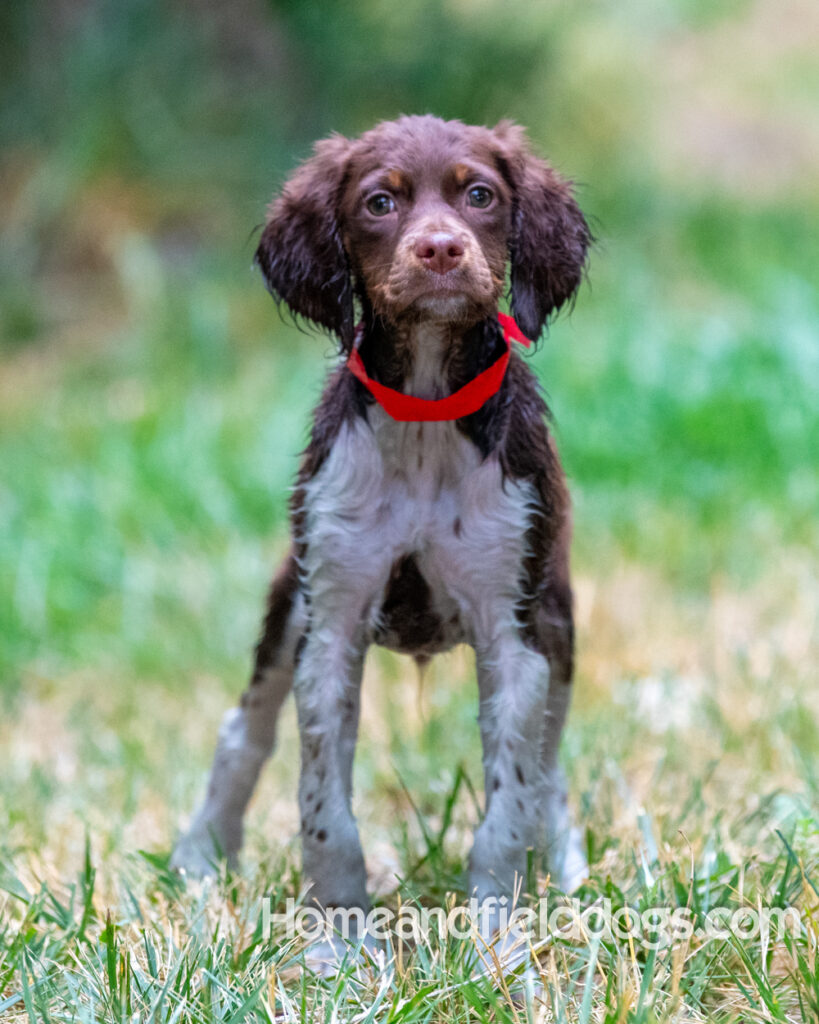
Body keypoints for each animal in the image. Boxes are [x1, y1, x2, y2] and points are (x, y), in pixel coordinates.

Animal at [173, 112, 593, 929]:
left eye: (479, 194)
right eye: (379, 203)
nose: (440, 250)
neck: (426, 416)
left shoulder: (517, 635)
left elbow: (510, 804)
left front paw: (497, 933)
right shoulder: (330, 628)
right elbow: (323, 813)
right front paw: (337, 936)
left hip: (558, 620)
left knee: (549, 766)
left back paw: (565, 867)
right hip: (290, 606)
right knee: (243, 733)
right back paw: (200, 857)